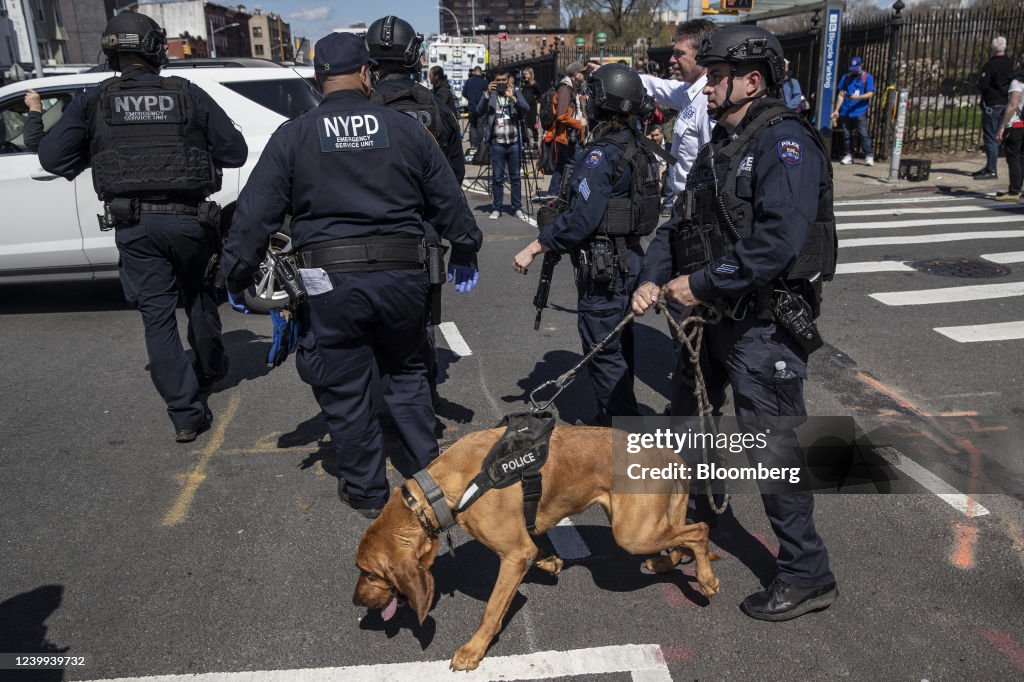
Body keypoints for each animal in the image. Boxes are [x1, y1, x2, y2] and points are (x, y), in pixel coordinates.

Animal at [352, 425, 720, 667]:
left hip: (632, 532)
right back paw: (665, 563)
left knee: (699, 530)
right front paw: (550, 562)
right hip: (644, 524)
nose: (356, 602)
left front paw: (474, 649)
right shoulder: (522, 548)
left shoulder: (513, 556)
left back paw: (706, 579)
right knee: (683, 534)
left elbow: (491, 609)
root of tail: (672, 456)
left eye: (368, 573)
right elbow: (535, 554)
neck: (439, 491)